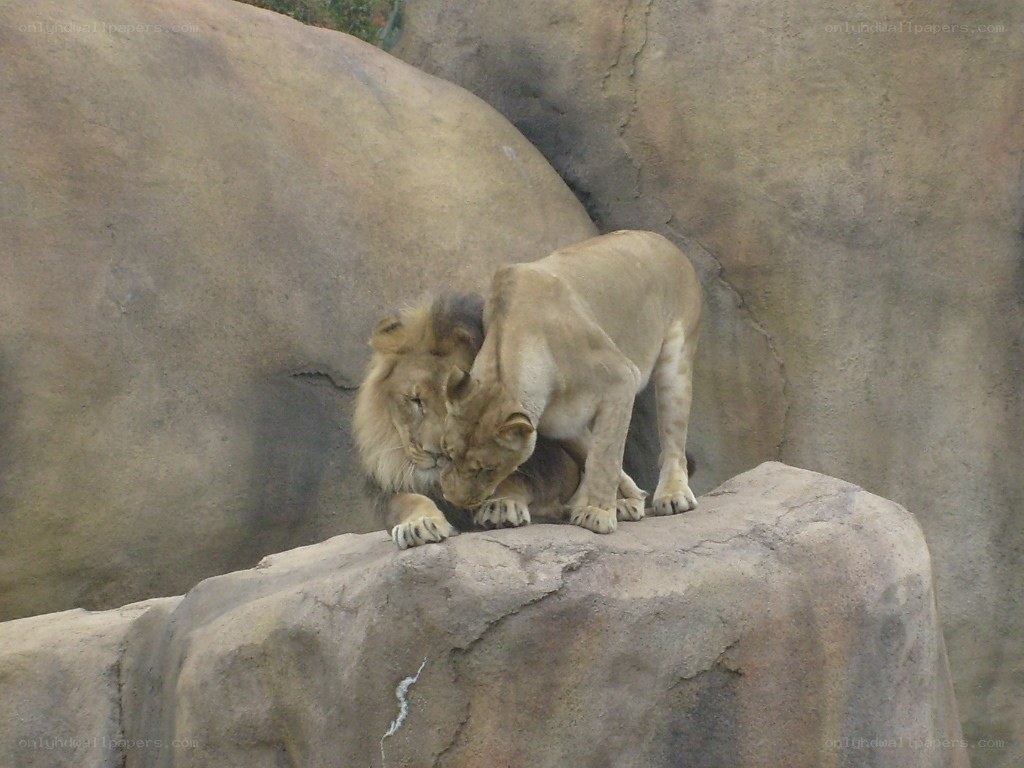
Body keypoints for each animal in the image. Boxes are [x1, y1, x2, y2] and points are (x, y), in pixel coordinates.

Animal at [353, 293, 580, 549]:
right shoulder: (384, 489)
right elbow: (406, 500)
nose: (437, 453)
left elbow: (513, 477)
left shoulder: (555, 464)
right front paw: (419, 524)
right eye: (415, 400)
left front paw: (501, 505)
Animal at [440, 230, 702, 535]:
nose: (453, 499)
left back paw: (673, 494)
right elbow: (594, 454)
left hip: (677, 360)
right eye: (448, 454)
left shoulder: (621, 378)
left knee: (674, 439)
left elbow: (605, 456)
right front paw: (627, 499)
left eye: (487, 469)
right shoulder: (561, 423)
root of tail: (663, 239)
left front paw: (598, 512)